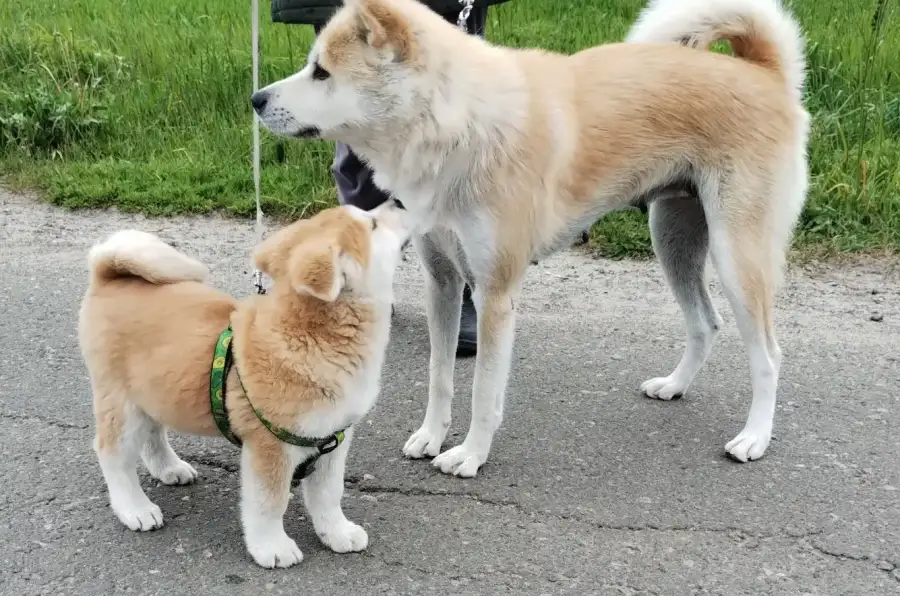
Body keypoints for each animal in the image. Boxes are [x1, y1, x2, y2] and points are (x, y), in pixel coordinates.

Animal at [79, 201, 410, 568]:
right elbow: (269, 503)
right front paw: (272, 546)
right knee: (112, 454)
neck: (313, 338)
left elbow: (328, 495)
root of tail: (107, 274)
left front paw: (337, 532)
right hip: (121, 403)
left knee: (153, 434)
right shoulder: (271, 447)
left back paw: (169, 468)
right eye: (373, 224)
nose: (398, 201)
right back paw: (134, 507)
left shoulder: (333, 439)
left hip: (154, 392)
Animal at [251, 0, 808, 478]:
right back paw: (674, 386)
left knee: (769, 356)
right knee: (705, 324)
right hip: (673, 239)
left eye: (322, 72)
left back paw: (755, 437)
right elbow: (439, 376)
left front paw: (470, 455)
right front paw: (431, 436)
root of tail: (763, 73)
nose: (256, 99)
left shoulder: (495, 294)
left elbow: (483, 391)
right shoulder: (443, 284)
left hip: (737, 258)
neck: (459, 123)